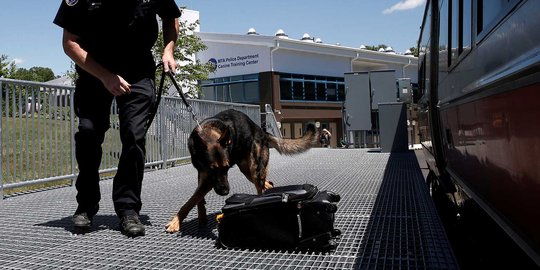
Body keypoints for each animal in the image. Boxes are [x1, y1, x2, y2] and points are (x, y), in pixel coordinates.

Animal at [165, 108, 316, 233]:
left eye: (226, 168)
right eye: (212, 168)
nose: (226, 192)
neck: (208, 133)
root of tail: (261, 131)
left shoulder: (208, 182)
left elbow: (191, 200)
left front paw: (175, 222)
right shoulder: (203, 174)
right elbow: (197, 199)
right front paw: (201, 218)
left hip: (254, 169)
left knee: (260, 187)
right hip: (247, 171)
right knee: (266, 183)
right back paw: (269, 188)